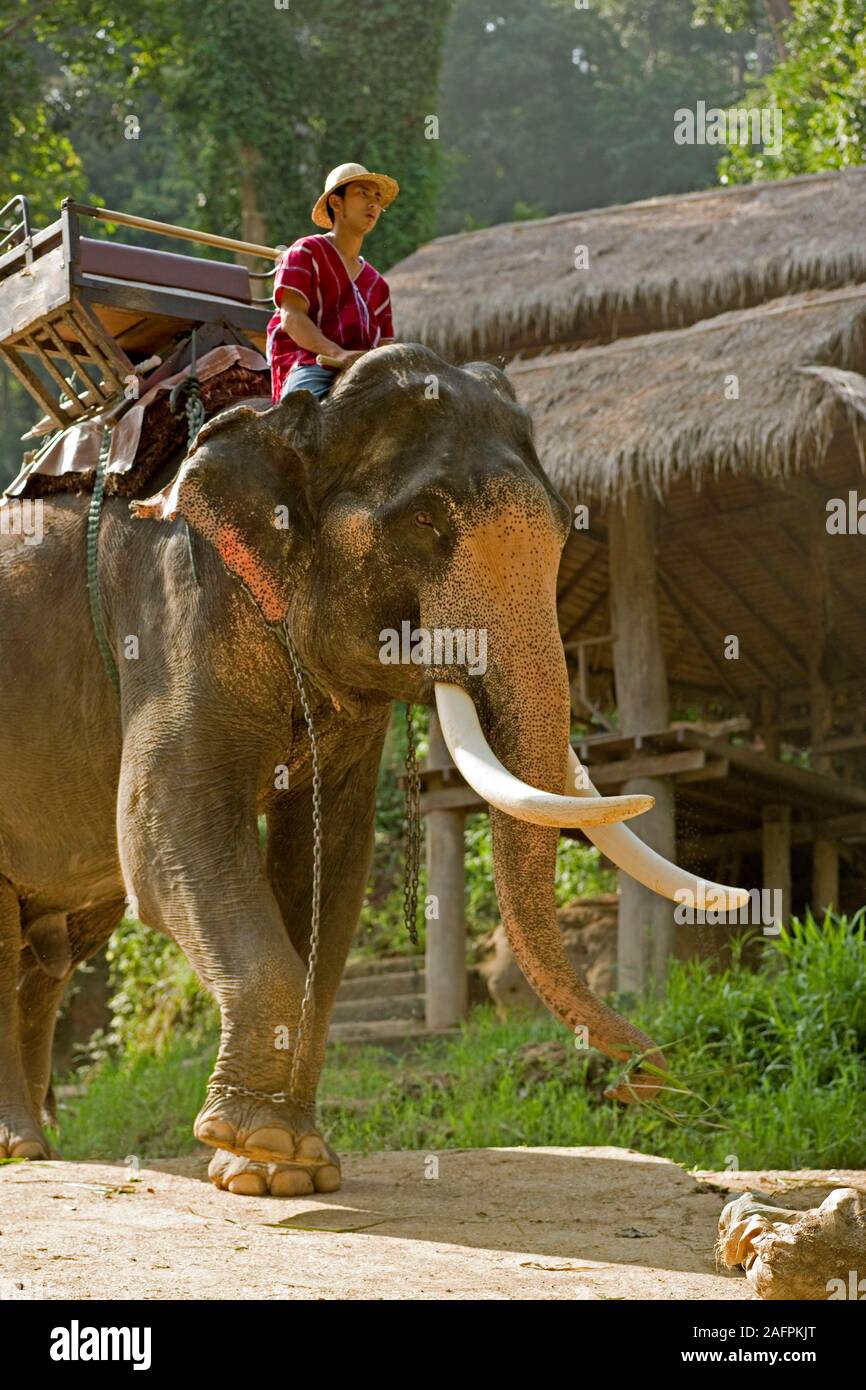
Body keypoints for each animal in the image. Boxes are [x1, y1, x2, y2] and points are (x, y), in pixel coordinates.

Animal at [0, 342, 746, 1196]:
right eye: (426, 522)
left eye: (565, 527)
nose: (645, 1080)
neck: (287, 419)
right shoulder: (168, 612)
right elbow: (166, 830)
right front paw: (257, 1143)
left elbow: (330, 864)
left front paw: (283, 1167)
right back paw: (20, 1148)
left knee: (56, 948)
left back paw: (39, 1145)